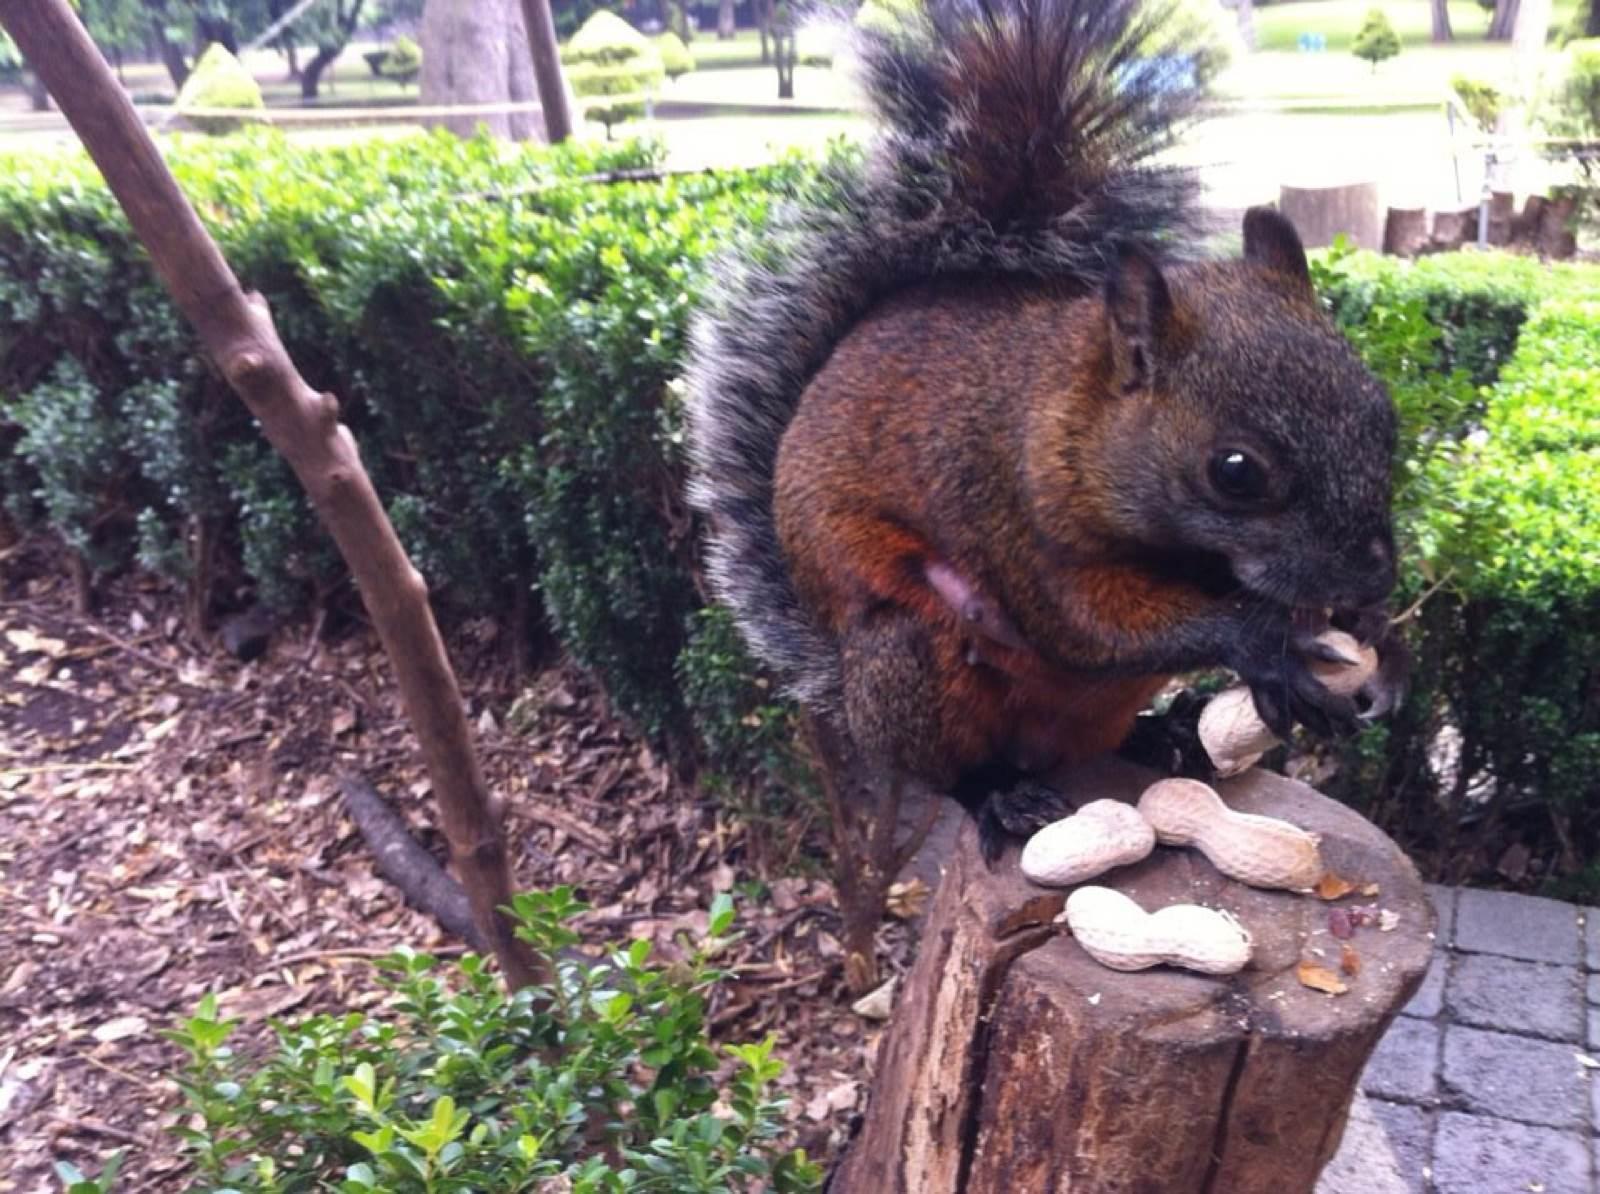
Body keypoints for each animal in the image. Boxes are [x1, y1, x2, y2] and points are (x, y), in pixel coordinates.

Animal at [684, 0, 1401, 851]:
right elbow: (1085, 623)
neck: (1074, 418)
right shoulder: (1014, 516)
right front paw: (1272, 648)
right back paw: (1000, 792)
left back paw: (1165, 734)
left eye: (1385, 415)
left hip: (1099, 703)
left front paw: (1373, 639)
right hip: (912, 659)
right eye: (1235, 472)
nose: (1374, 576)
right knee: (952, 766)